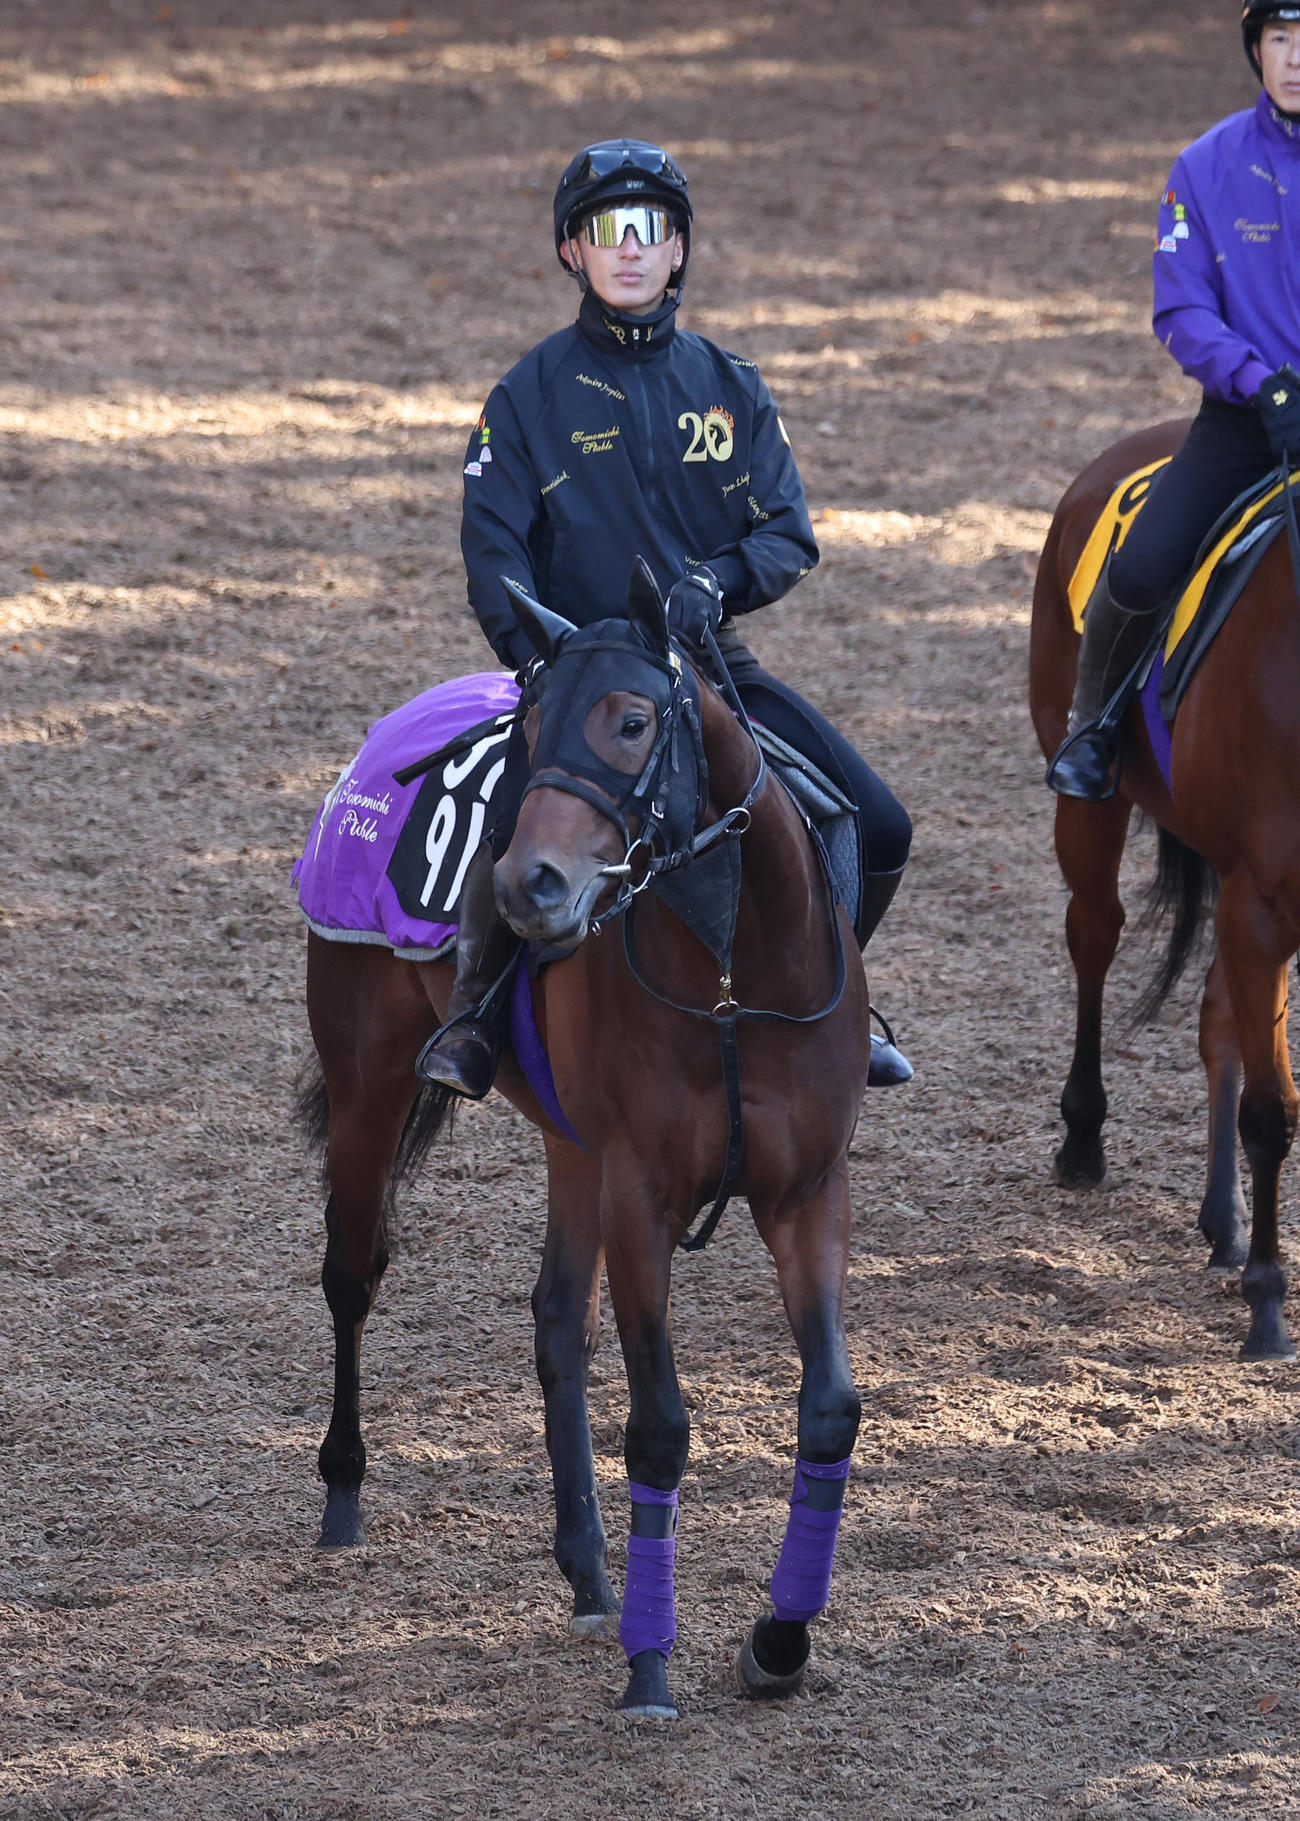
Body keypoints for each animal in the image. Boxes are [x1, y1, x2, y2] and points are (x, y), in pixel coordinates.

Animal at [297, 560, 872, 1719]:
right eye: (529, 730)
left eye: (632, 720)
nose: (528, 886)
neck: (733, 976)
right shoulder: (641, 1195)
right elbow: (658, 1424)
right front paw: (652, 1667)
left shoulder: (805, 1190)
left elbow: (829, 1409)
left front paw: (780, 1640)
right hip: (370, 1085)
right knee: (352, 1275)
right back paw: (343, 1493)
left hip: (573, 1145)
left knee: (558, 1321)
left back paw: (590, 1572)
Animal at [1029, 419, 1300, 1363]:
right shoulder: (1262, 905)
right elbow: (1273, 1112)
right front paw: (1267, 1306)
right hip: (1091, 802)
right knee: (1094, 935)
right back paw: (1082, 1137)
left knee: (1217, 1016)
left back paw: (1223, 1222)